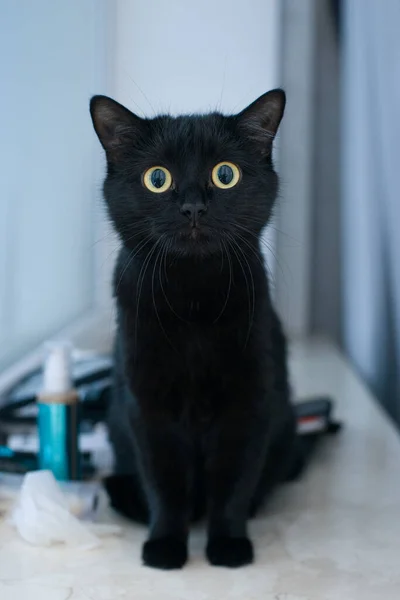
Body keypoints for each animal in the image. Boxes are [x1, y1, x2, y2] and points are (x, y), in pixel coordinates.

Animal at [90, 91, 304, 568]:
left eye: (225, 175)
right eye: (157, 178)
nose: (192, 206)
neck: (193, 302)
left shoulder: (249, 401)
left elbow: (233, 481)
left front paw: (228, 545)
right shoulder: (146, 404)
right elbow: (165, 482)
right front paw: (166, 546)